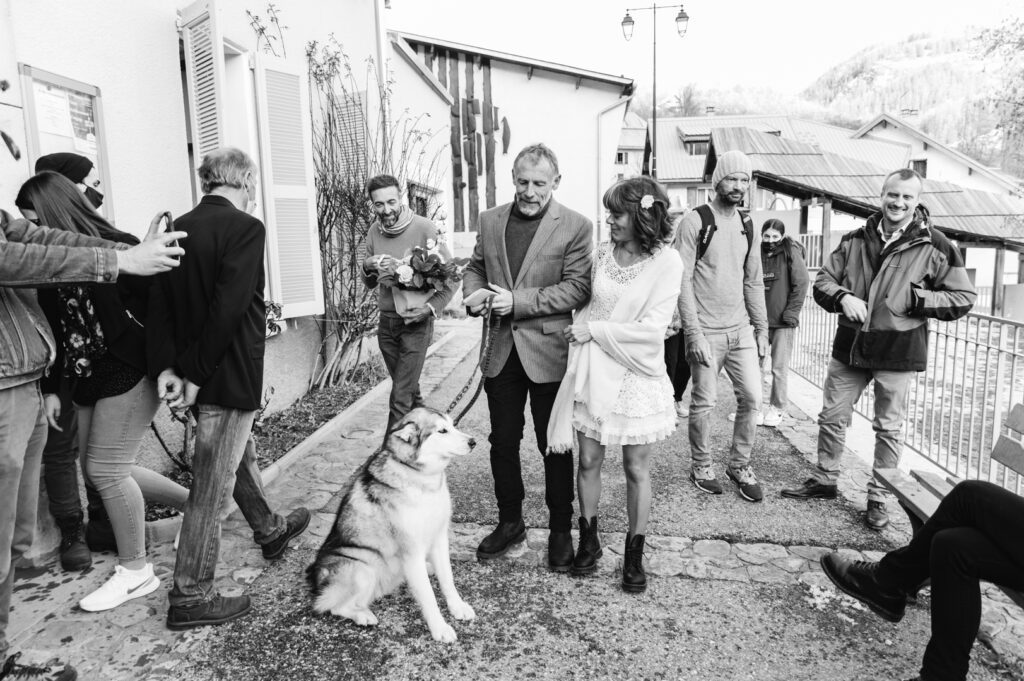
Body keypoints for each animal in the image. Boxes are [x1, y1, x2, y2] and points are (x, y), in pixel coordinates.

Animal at [305, 405, 477, 639]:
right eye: (442, 431)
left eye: (453, 425)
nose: (473, 441)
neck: (420, 479)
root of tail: (314, 576)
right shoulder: (411, 552)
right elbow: (429, 596)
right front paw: (440, 628)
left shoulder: (440, 538)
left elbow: (447, 579)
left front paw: (457, 607)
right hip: (362, 568)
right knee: (331, 606)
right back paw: (363, 615)